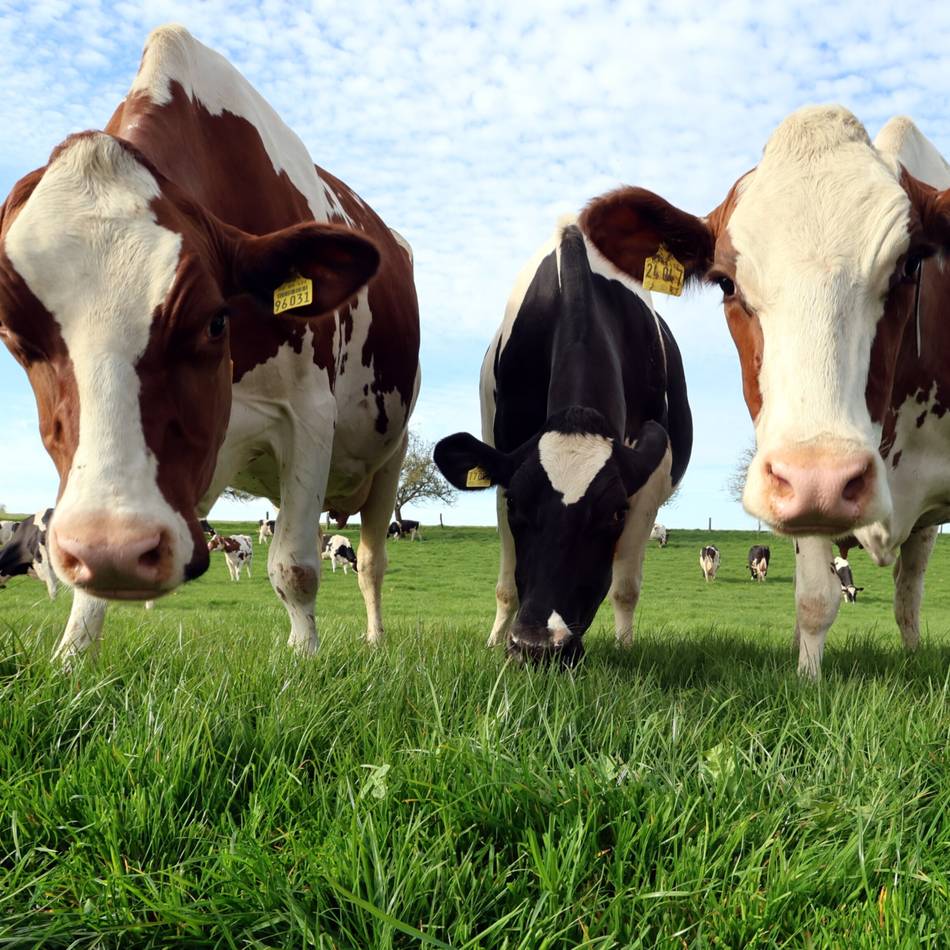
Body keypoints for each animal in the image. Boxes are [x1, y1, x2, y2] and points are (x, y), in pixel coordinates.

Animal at [0, 26, 419, 662]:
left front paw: (305, 660)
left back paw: (374, 641)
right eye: (13, 336)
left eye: (214, 321)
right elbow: (87, 588)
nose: (116, 547)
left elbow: (295, 566)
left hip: (388, 455)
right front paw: (72, 658)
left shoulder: (308, 414)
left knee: (371, 562)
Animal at [433, 214, 691, 666]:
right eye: (516, 504)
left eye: (615, 513)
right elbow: (508, 583)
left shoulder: (649, 478)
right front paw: (497, 642)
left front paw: (626, 649)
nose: (538, 646)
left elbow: (626, 588)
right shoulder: (504, 462)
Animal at [578, 106, 950, 677]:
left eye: (910, 267)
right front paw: (807, 680)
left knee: (908, 593)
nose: (821, 477)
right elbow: (815, 600)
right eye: (726, 283)